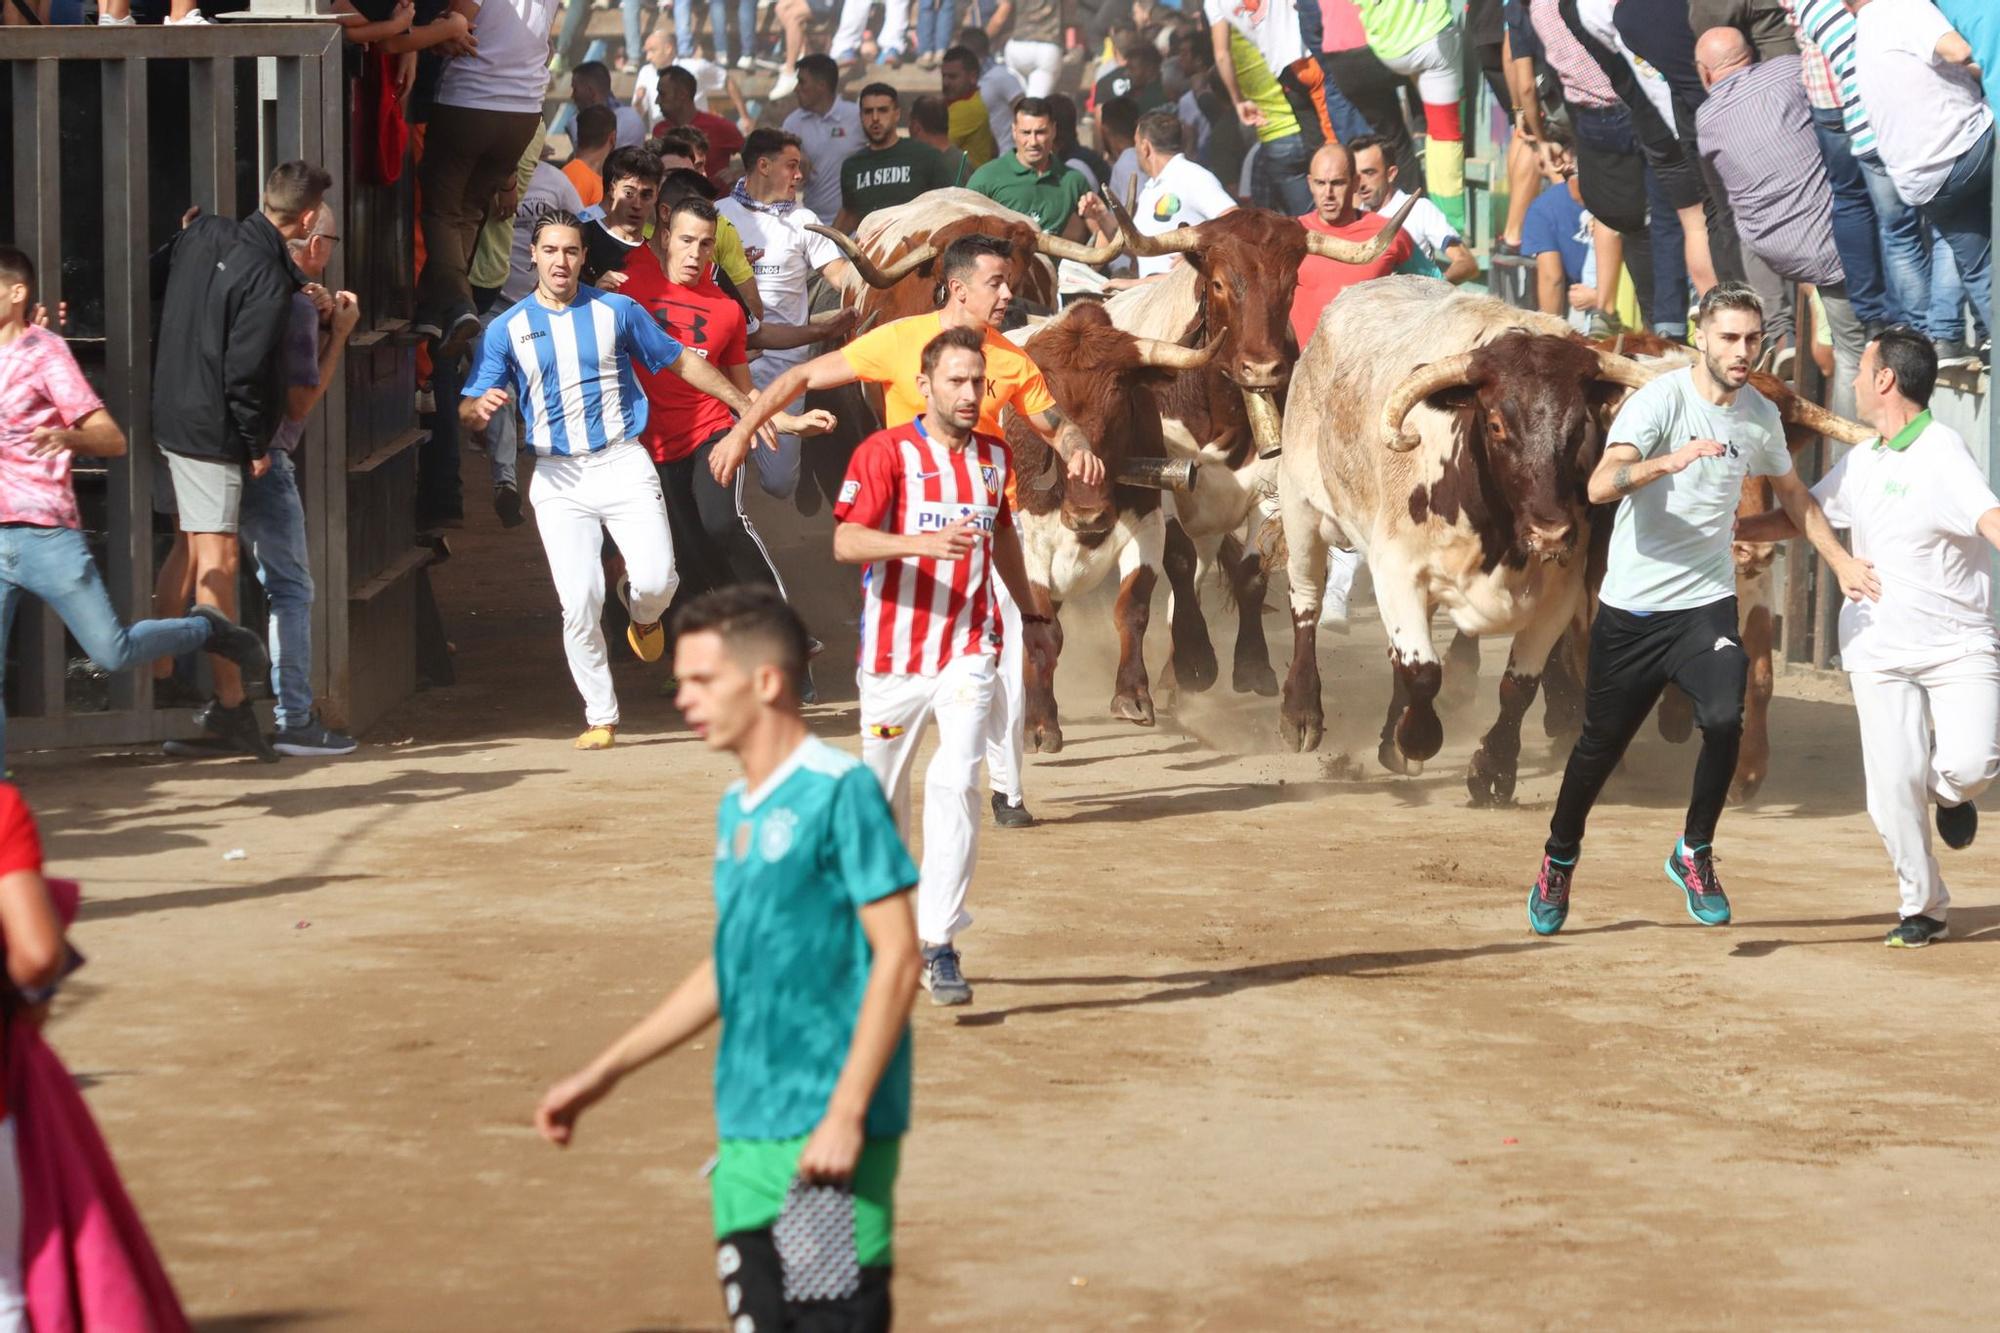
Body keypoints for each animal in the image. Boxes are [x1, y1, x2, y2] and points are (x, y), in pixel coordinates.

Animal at [1280, 274, 1656, 804]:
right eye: (1496, 424)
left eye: (1579, 426)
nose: (1551, 530)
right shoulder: (1395, 570)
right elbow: (1422, 670)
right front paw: (1414, 740)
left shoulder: (1559, 595)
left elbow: (1518, 685)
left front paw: (1493, 768)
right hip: (1299, 506)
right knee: (1306, 604)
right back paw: (1301, 711)